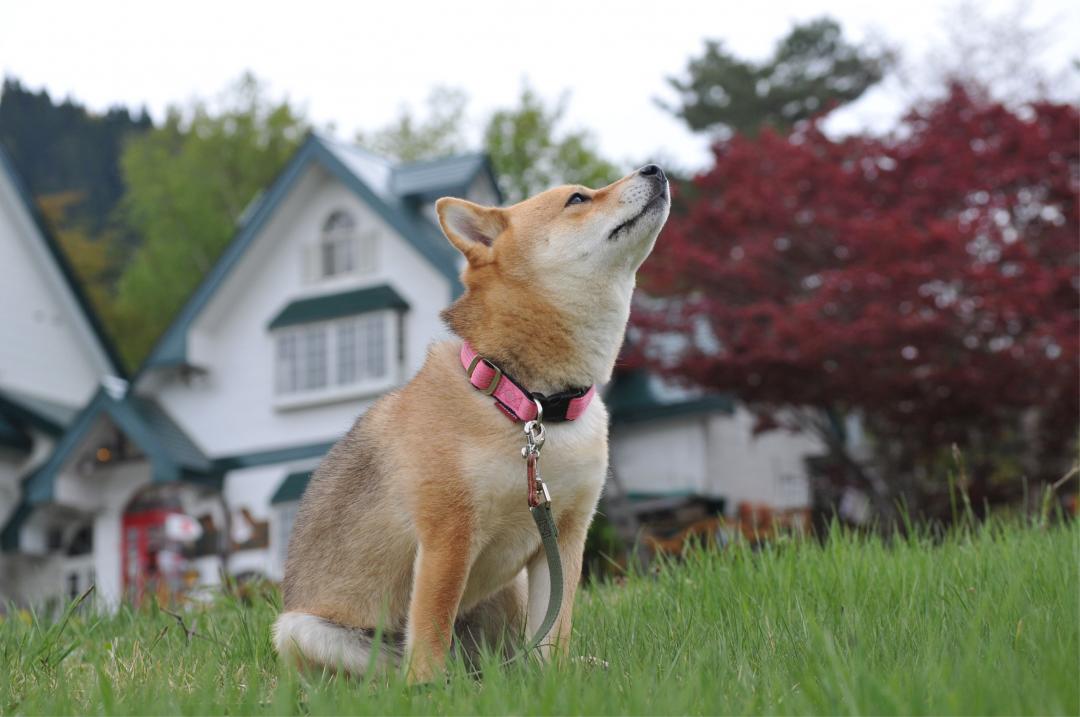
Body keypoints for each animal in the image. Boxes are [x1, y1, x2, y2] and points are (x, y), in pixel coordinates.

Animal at [272, 164, 665, 682]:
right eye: (578, 199)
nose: (655, 168)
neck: (530, 404)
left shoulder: (564, 535)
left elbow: (553, 633)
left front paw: (557, 679)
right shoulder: (448, 536)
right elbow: (430, 631)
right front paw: (428, 688)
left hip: (511, 592)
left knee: (510, 652)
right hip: (304, 630)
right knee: (394, 665)